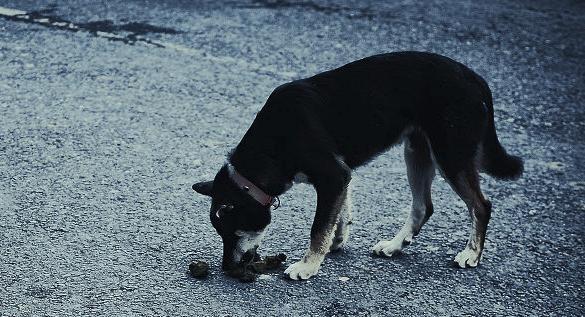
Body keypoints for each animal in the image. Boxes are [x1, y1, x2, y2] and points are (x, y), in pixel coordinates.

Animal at [193, 51, 524, 278]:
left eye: (233, 233)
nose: (226, 268)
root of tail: (476, 79)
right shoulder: (341, 176)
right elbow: (339, 215)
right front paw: (335, 243)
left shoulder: (333, 176)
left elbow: (318, 226)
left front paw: (308, 265)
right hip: (417, 152)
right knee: (423, 207)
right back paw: (394, 245)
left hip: (450, 155)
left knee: (481, 206)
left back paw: (472, 254)